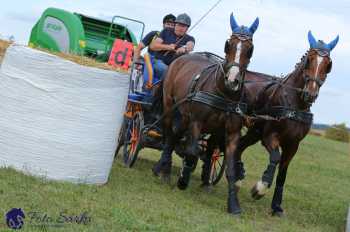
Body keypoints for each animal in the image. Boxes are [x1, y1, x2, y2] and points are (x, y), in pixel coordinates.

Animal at [153, 12, 260, 215]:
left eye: (250, 49)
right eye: (229, 45)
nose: (232, 80)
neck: (223, 93)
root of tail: (180, 58)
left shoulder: (231, 132)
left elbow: (230, 168)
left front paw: (233, 204)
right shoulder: (196, 122)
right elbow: (192, 152)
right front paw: (183, 179)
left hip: (187, 116)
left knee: (180, 136)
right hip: (171, 107)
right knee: (169, 136)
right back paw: (164, 170)